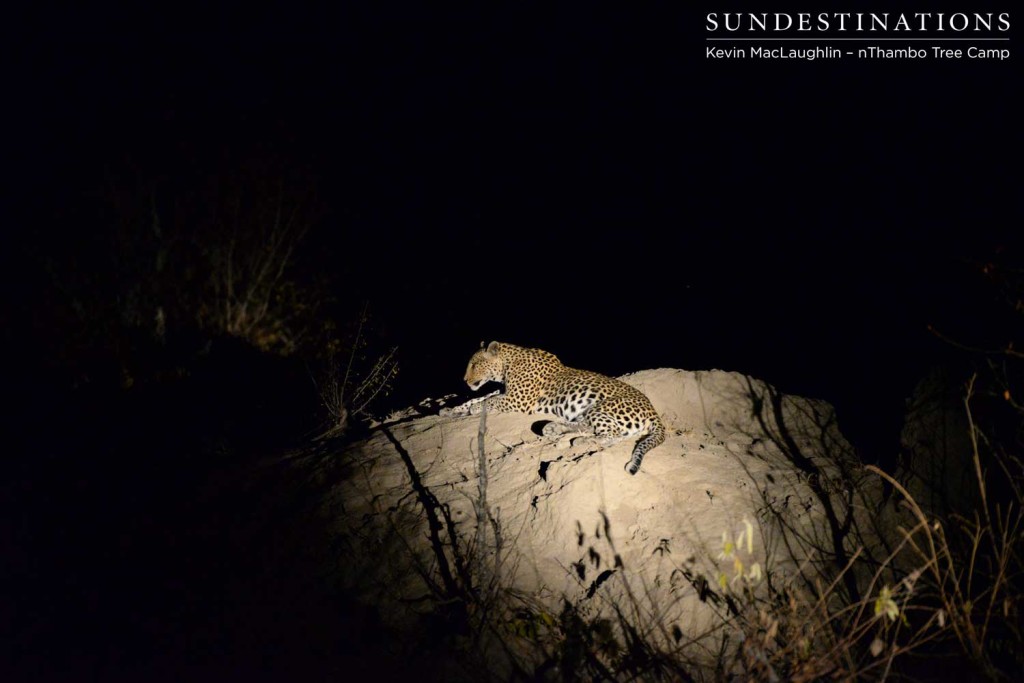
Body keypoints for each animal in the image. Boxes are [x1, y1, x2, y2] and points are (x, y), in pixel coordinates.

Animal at [444, 342, 667, 475]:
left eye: (474, 364)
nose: (464, 380)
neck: (506, 366)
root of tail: (653, 411)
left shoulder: (518, 400)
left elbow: (488, 401)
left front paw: (472, 409)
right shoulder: (506, 392)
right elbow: (481, 397)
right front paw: (453, 410)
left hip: (602, 407)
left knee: (615, 434)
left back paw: (582, 441)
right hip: (589, 411)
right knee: (587, 426)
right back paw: (554, 428)